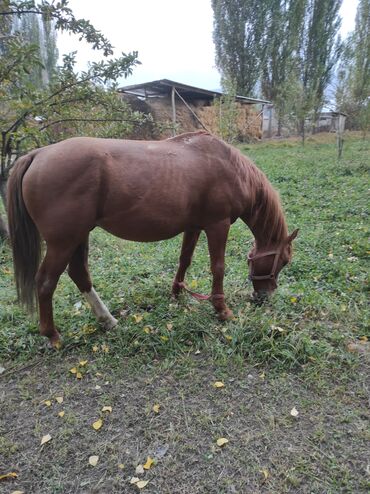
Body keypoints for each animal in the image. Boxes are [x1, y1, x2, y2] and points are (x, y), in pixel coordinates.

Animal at [6, 131, 298, 348]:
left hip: (78, 237)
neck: (229, 167)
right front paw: (222, 310)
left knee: (79, 274)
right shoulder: (218, 225)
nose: (264, 297)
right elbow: (218, 268)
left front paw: (177, 294)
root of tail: (38, 154)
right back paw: (52, 334)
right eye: (283, 261)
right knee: (46, 282)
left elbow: (184, 259)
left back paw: (107, 320)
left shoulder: (194, 226)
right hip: (63, 242)